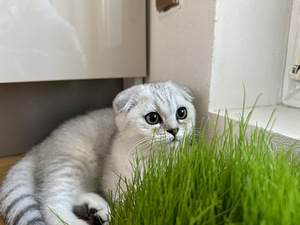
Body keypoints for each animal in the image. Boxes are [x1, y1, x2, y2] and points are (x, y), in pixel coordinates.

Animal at [0, 81, 196, 225]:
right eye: (153, 118)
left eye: (181, 113)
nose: (174, 130)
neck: (159, 158)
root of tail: (39, 146)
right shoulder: (117, 185)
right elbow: (133, 205)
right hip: (70, 165)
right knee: (51, 205)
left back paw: (98, 209)